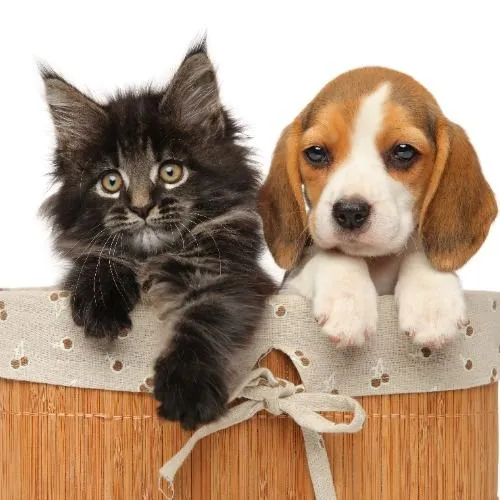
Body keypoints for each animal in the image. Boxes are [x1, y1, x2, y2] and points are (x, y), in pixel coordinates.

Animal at [41, 40, 276, 430]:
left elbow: (202, 322)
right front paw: (99, 306)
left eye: (170, 171)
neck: (153, 258)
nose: (141, 208)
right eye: (111, 181)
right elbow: (98, 260)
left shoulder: (229, 276)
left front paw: (188, 390)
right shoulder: (86, 258)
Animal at [260, 66, 498, 348]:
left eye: (404, 151)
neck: (377, 262)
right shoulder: (289, 289)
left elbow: (421, 254)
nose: (349, 212)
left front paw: (432, 303)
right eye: (316, 153)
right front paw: (347, 303)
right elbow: (334, 256)